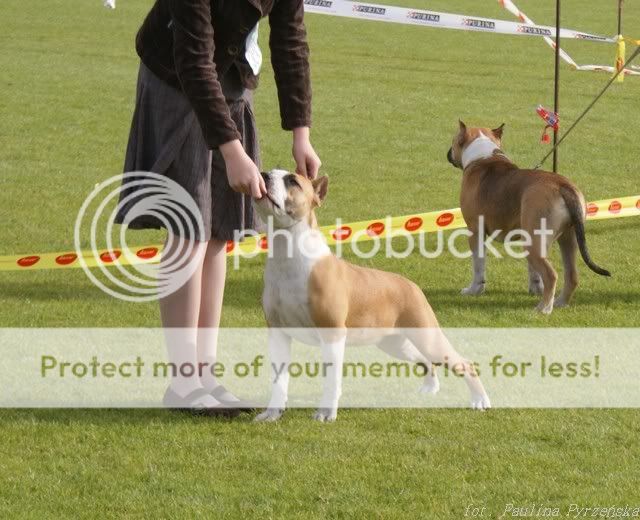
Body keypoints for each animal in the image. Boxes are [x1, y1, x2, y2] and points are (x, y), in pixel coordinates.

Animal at [252, 169, 490, 422]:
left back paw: (480, 400)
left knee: (463, 363)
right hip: (394, 342)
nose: (263, 175)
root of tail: (411, 285)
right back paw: (430, 387)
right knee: (424, 359)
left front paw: (326, 413)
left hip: (427, 337)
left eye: (292, 181)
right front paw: (272, 413)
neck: (287, 253)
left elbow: (332, 381)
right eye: (270, 172)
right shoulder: (278, 332)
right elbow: (279, 380)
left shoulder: (332, 334)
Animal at [447, 121, 610, 314]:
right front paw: (535, 289)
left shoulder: (475, 232)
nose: (448, 153)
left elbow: (478, 266)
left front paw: (474, 290)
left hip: (535, 243)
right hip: (566, 239)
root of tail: (563, 186)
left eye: (454, 140)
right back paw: (559, 302)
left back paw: (544, 308)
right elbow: (534, 272)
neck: (483, 157)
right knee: (571, 275)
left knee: (551, 274)